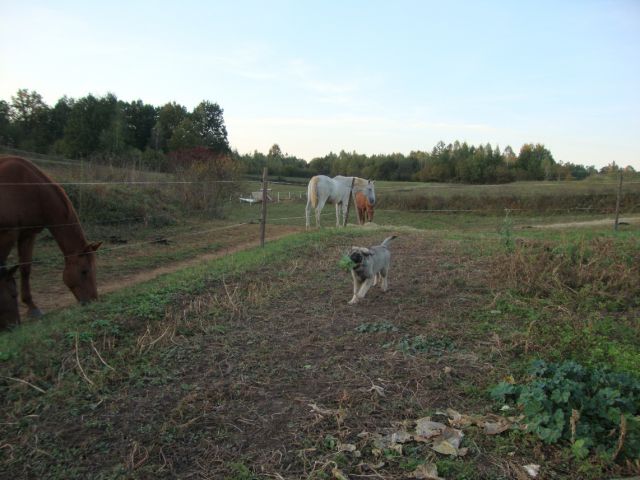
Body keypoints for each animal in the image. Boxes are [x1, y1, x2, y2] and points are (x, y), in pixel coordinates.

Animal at [0, 155, 100, 318]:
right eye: (84, 271)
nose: (93, 301)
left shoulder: (28, 234)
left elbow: (25, 268)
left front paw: (32, 307)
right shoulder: (7, 235)